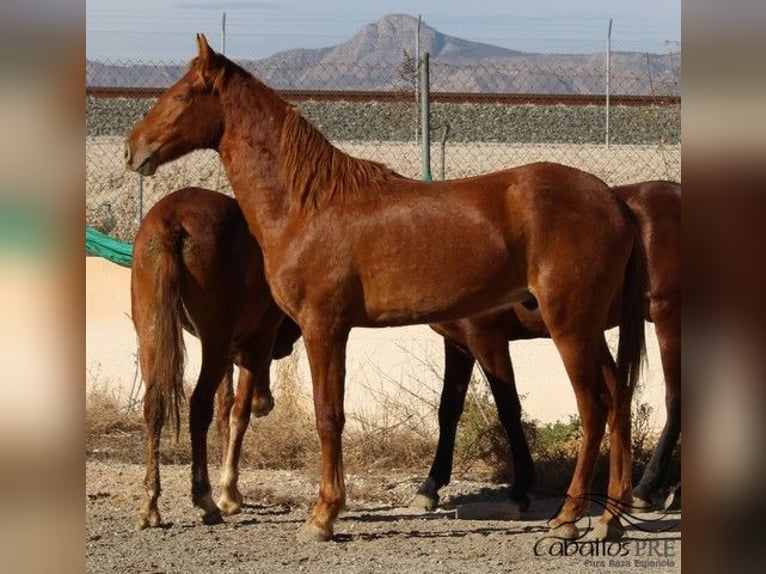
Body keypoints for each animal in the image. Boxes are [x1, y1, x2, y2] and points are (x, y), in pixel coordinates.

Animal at [130, 187, 298, 528]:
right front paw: (229, 494)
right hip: (215, 341)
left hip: (152, 333)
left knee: (154, 405)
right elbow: (237, 414)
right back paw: (204, 498)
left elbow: (225, 410)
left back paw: (150, 504)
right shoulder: (255, 345)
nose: (266, 403)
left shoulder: (229, 352)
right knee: (198, 406)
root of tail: (171, 219)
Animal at [414, 181, 684, 512]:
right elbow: (449, 408)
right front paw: (430, 485)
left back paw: (646, 488)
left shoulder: (487, 339)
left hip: (668, 317)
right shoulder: (458, 344)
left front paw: (521, 487)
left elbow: (508, 408)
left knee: (676, 401)